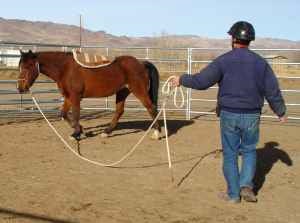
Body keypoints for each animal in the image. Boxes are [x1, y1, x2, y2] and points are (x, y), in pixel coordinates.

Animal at [17, 50, 161, 140]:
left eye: (27, 67)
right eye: (20, 67)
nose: (20, 88)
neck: (65, 69)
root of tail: (141, 63)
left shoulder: (75, 97)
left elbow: (75, 114)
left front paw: (76, 134)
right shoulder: (68, 97)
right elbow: (63, 114)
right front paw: (81, 131)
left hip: (139, 91)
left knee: (151, 108)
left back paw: (157, 133)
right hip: (122, 92)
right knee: (119, 111)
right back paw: (106, 132)